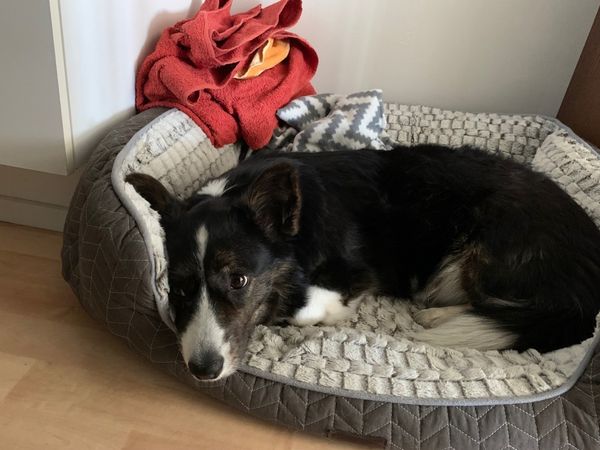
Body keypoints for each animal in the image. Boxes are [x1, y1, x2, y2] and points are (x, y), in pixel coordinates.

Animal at [127, 145, 600, 380]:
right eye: (180, 285)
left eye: (239, 280)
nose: (202, 371)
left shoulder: (352, 277)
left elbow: (302, 307)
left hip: (489, 242)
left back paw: (435, 316)